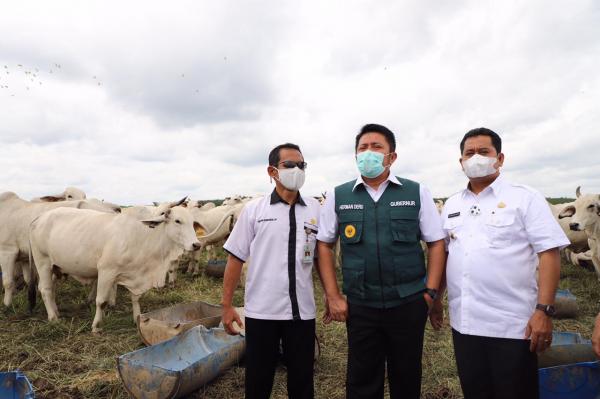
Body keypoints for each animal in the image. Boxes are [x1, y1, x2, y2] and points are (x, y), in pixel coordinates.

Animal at [28, 205, 203, 332]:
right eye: (177, 221)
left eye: (193, 222)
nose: (196, 244)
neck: (142, 236)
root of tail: (39, 217)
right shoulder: (106, 271)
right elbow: (101, 301)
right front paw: (96, 326)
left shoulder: (135, 274)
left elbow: (136, 298)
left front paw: (137, 319)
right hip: (43, 262)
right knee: (45, 290)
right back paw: (53, 318)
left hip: (54, 267)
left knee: (49, 289)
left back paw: (55, 311)